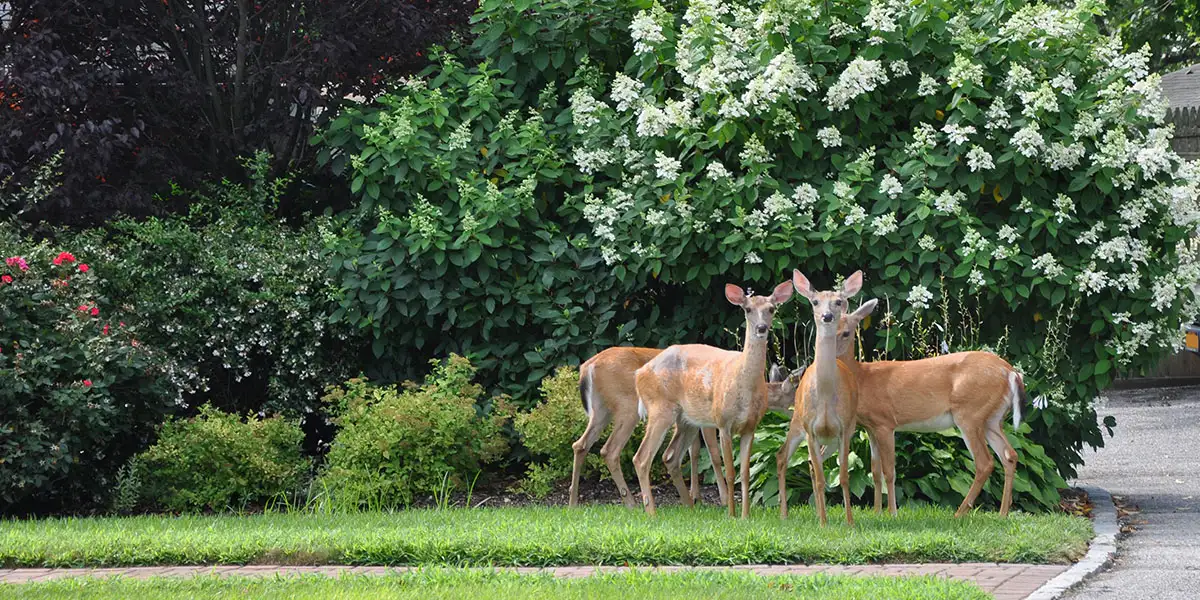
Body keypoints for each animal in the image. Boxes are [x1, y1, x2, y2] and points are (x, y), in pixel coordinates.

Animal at [570, 348, 803, 509]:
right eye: (794, 396)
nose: (800, 414)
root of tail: (587, 367)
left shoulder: (690, 421)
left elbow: (693, 452)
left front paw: (695, 496)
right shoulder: (709, 421)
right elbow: (713, 455)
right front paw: (722, 498)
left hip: (601, 410)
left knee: (580, 445)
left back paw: (573, 502)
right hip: (628, 408)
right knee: (610, 450)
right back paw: (633, 504)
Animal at [632, 280, 795, 517]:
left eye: (772, 309)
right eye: (747, 309)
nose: (761, 328)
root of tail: (639, 374)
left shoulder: (750, 427)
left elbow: (745, 473)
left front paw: (745, 515)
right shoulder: (722, 422)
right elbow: (728, 468)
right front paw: (731, 513)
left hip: (686, 420)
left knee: (670, 456)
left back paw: (689, 506)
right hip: (660, 408)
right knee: (642, 458)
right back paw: (652, 511)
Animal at [777, 269, 863, 526]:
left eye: (839, 301)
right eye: (815, 302)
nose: (826, 316)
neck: (825, 397)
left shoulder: (845, 428)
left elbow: (843, 476)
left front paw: (849, 521)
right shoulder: (811, 429)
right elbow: (821, 478)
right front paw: (824, 524)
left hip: (835, 437)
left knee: (813, 464)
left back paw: (816, 512)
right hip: (797, 422)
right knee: (783, 457)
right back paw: (784, 514)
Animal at [834, 301, 1026, 517]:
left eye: (846, 332)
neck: (862, 378)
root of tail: (1011, 372)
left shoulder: (885, 423)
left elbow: (889, 471)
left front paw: (892, 513)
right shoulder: (870, 427)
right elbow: (875, 471)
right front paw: (877, 513)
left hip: (970, 413)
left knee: (985, 463)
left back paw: (959, 514)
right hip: (992, 419)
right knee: (1009, 455)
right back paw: (1002, 514)